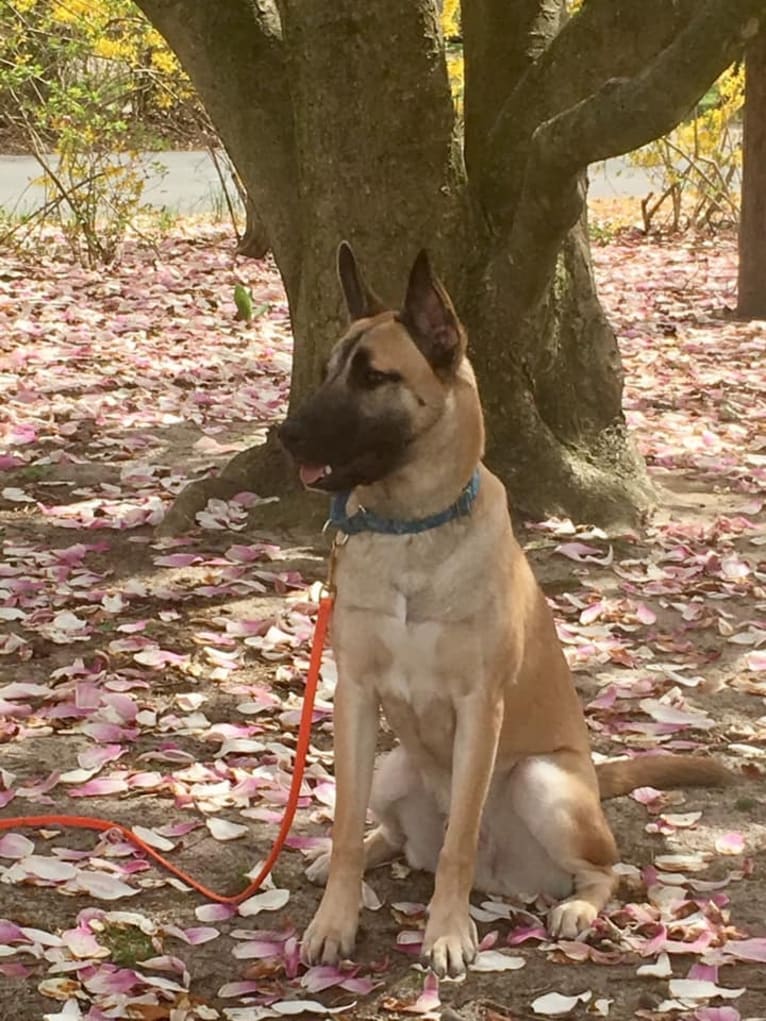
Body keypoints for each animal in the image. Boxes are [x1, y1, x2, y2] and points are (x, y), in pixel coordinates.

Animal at [279, 242, 735, 976]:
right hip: (390, 769)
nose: (285, 433)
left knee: (607, 871)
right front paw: (335, 919)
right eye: (327, 371)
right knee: (393, 838)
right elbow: (346, 825)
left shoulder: (479, 708)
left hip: (544, 780)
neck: (413, 529)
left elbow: (459, 840)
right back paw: (352, 857)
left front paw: (446, 930)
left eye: (374, 376)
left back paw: (578, 908)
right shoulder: (354, 696)